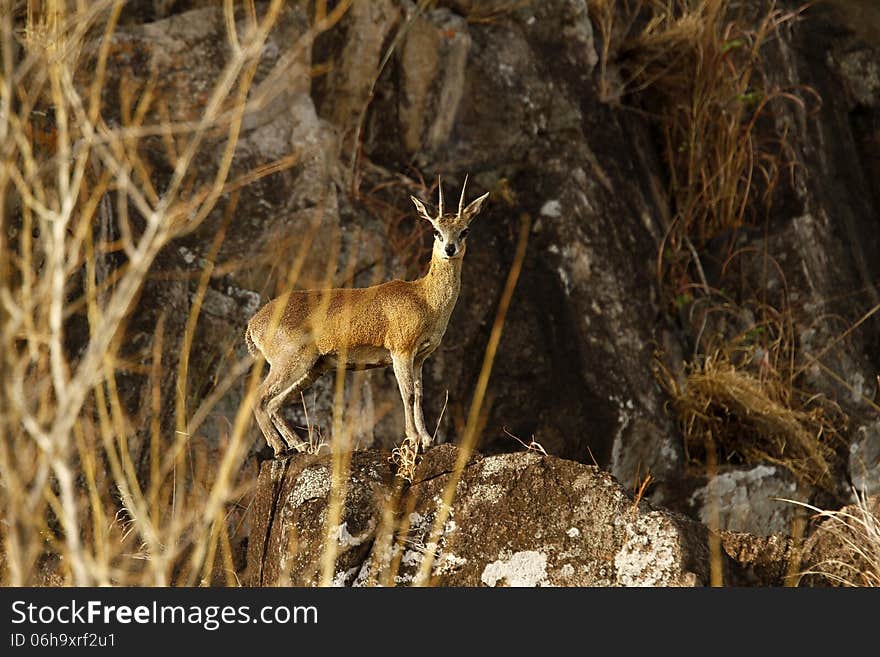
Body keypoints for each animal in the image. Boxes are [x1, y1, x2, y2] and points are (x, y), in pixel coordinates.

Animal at [244, 177, 488, 458]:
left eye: (464, 230)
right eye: (436, 231)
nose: (450, 248)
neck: (425, 299)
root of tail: (252, 325)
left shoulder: (420, 357)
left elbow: (419, 394)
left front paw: (427, 440)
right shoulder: (401, 350)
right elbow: (407, 394)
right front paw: (413, 439)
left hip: (314, 367)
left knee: (274, 402)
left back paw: (300, 445)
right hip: (290, 361)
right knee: (259, 397)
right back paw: (279, 448)